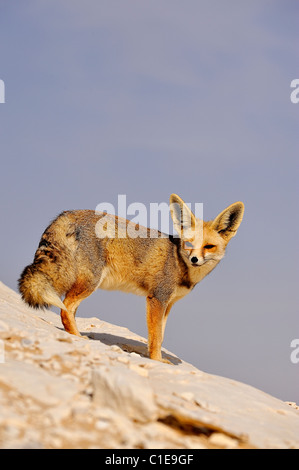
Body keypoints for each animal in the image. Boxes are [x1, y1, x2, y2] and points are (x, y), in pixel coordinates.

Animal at [18, 195, 244, 364]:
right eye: (189, 244)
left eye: (208, 247)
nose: (194, 259)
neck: (180, 265)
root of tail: (67, 213)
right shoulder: (156, 298)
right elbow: (155, 337)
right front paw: (157, 361)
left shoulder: (168, 303)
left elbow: (160, 335)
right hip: (90, 283)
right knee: (66, 309)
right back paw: (77, 337)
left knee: (69, 310)